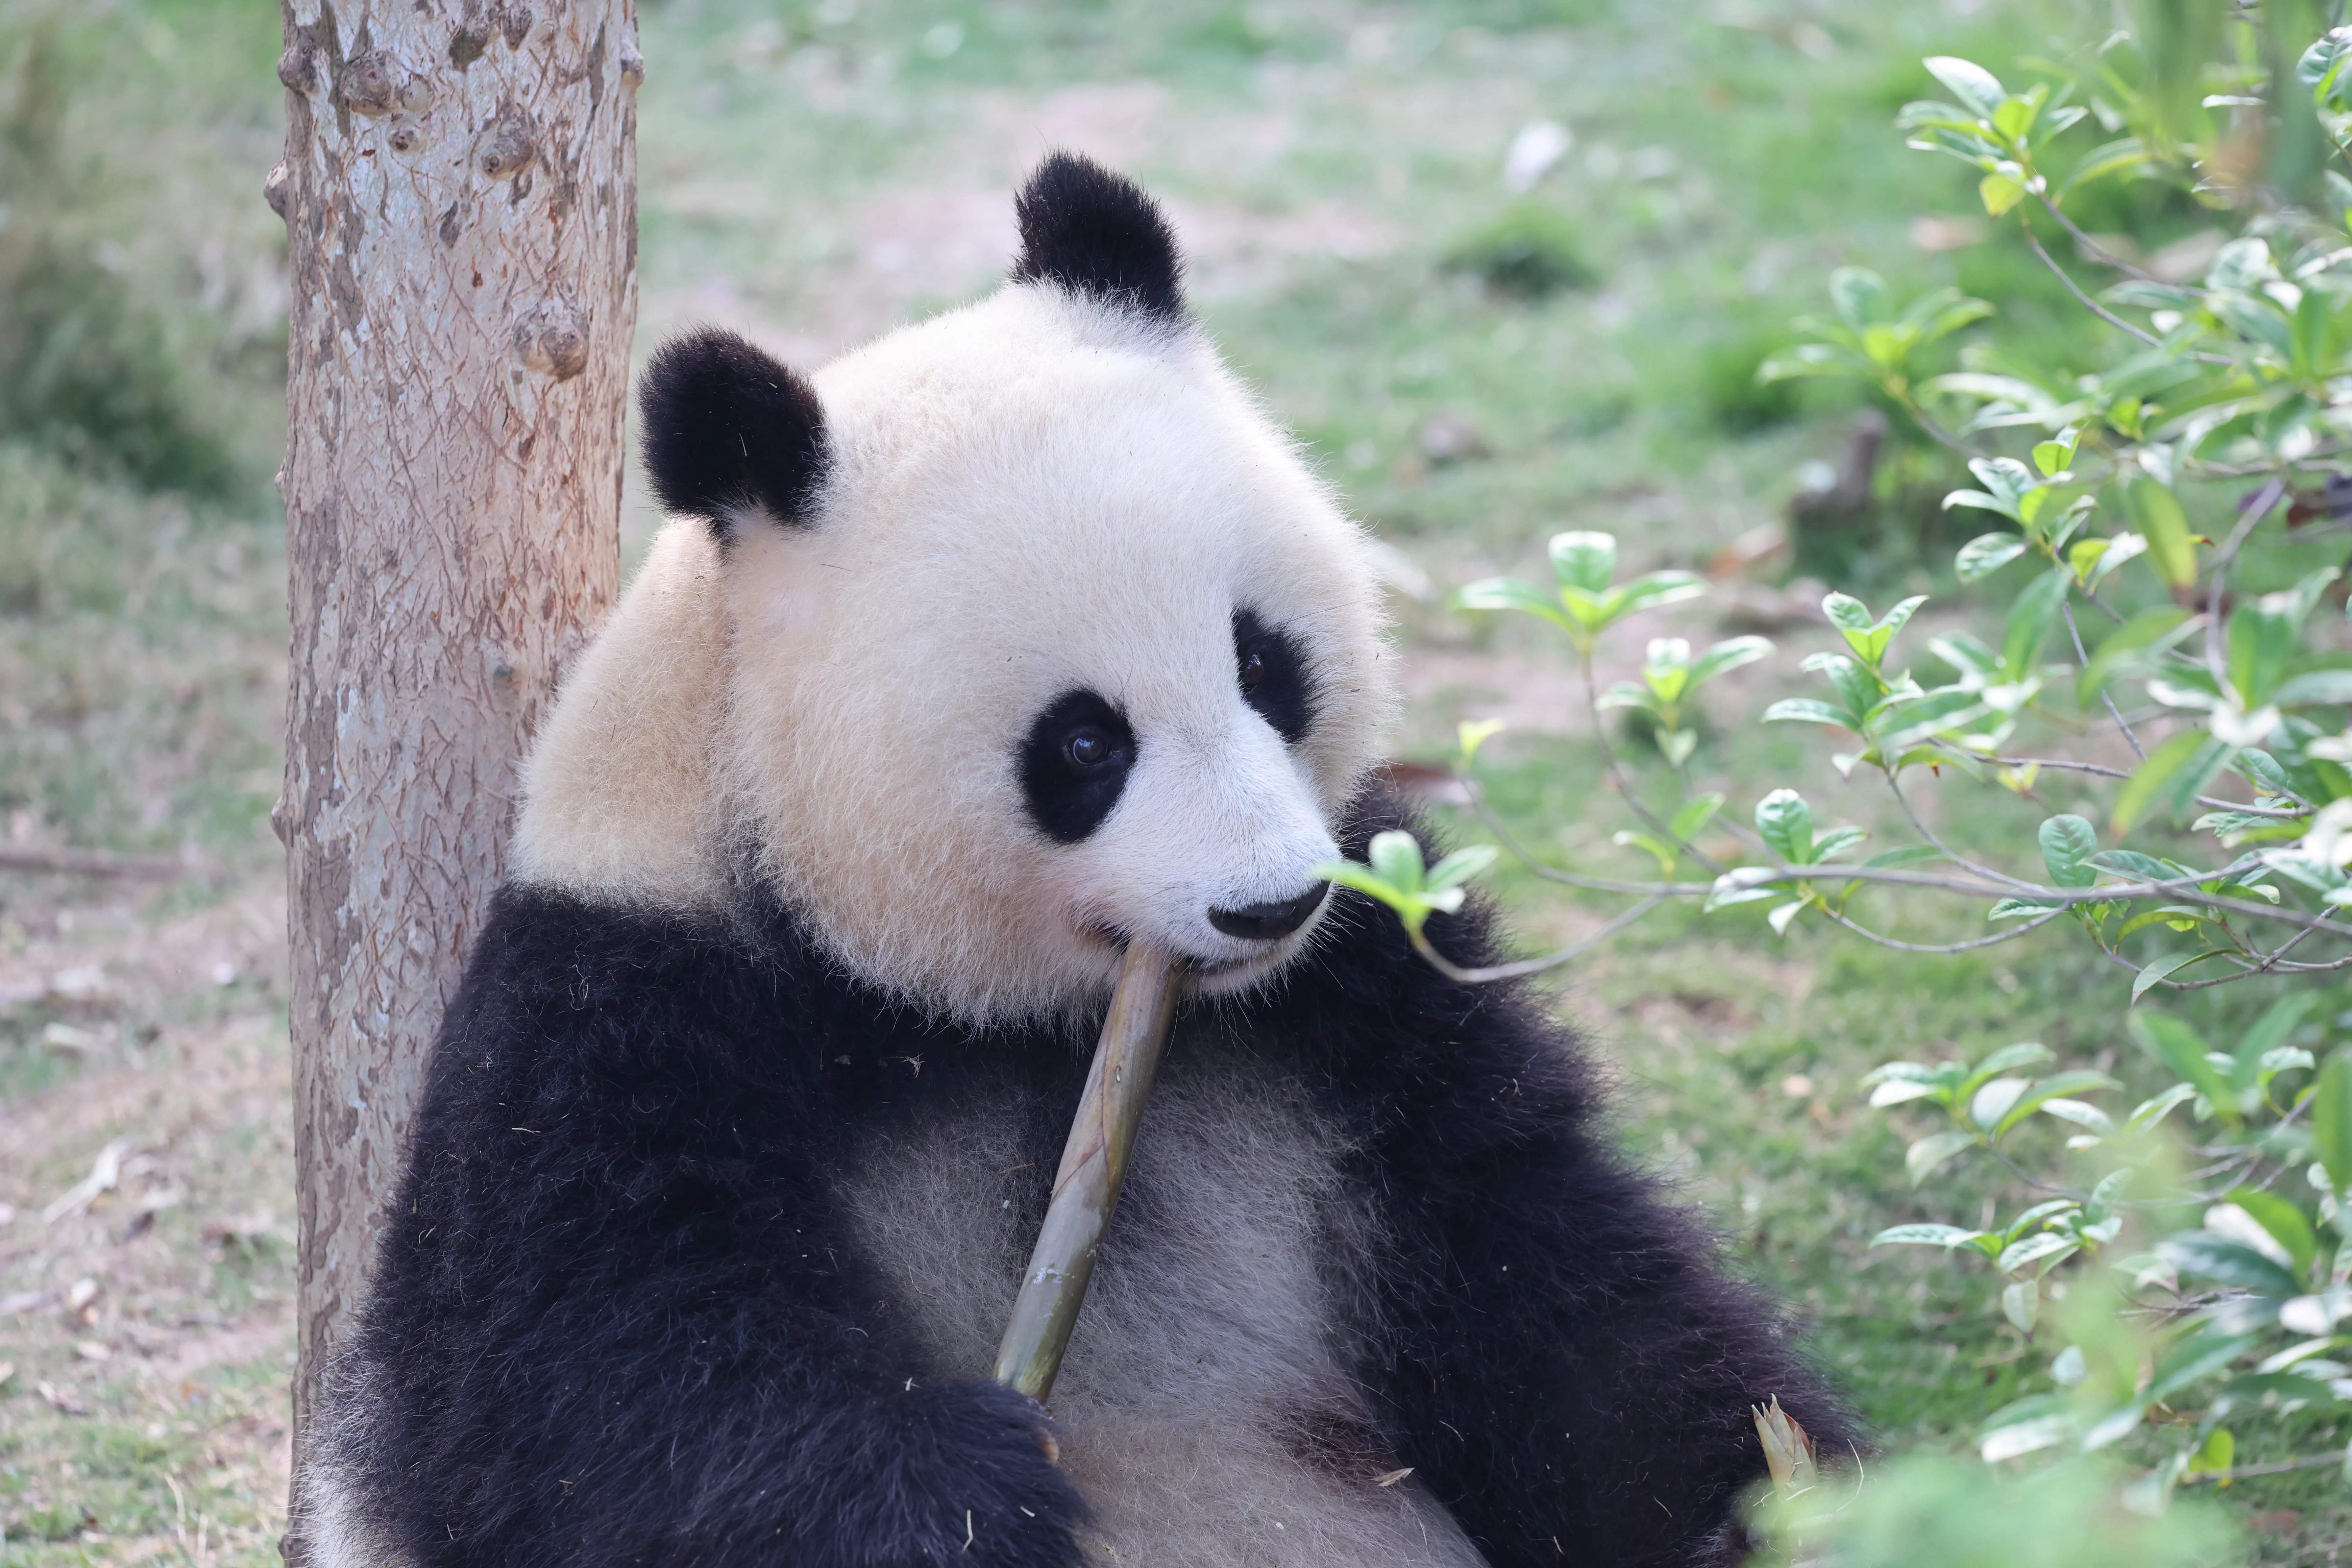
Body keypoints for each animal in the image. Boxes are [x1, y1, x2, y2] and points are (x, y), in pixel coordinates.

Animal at [300, 153, 1855, 1568]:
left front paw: (1777, 1494)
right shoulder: (619, 1015)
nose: (1270, 902)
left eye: (1263, 661)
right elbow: (587, 1398)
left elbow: (1537, 1266)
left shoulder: (1361, 995)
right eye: (1084, 742)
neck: (997, 1021)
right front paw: (962, 1504)